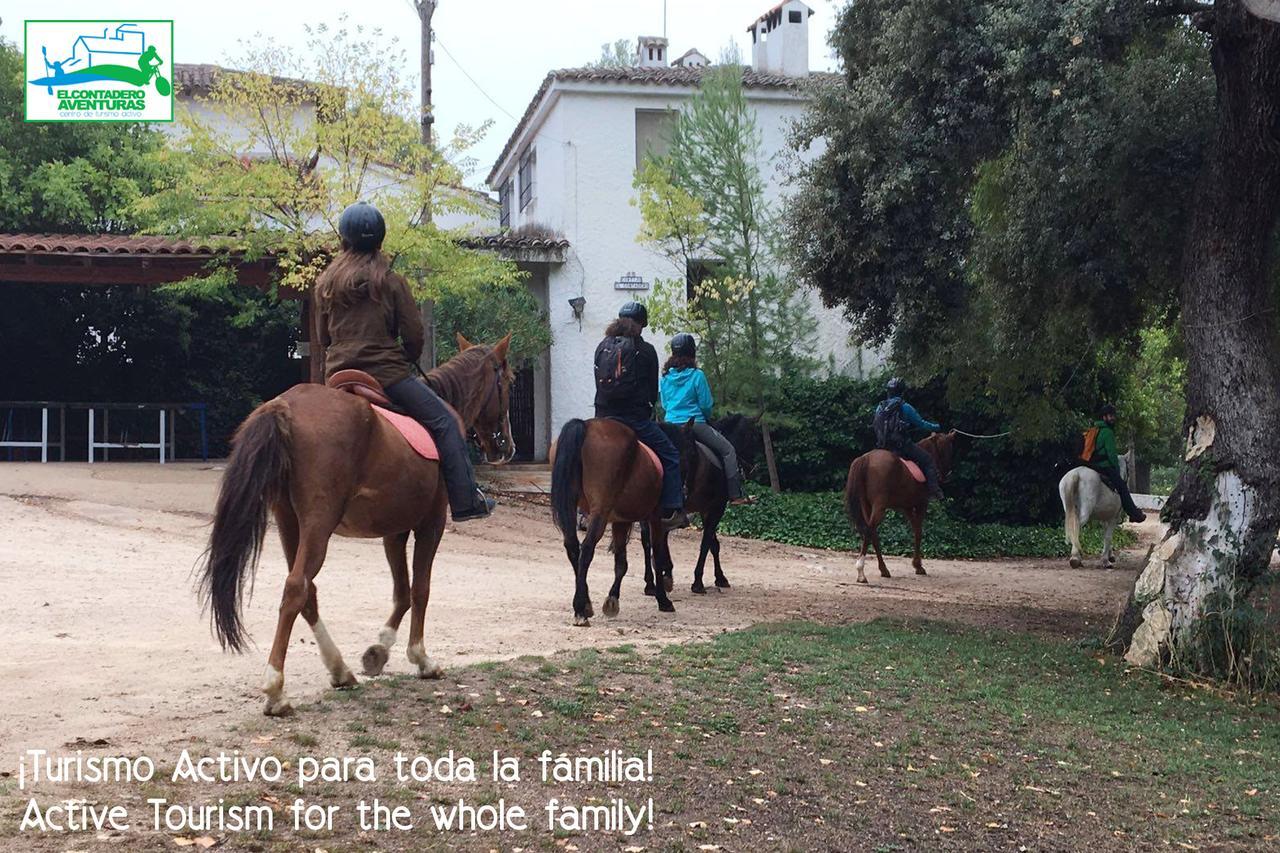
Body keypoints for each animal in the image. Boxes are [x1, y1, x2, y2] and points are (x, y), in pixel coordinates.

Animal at [197, 333, 512, 712]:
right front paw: (421, 659)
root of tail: (286, 405)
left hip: (289, 522)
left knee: (307, 592)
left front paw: (379, 651)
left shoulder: (394, 531)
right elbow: (420, 589)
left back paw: (339, 670)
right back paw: (276, 688)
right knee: (297, 588)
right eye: (509, 382)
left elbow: (402, 592)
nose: (506, 447)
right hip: (318, 524)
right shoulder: (430, 524)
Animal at [550, 417, 680, 625]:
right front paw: (663, 599)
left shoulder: (621, 521)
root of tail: (586, 425)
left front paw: (612, 600)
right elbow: (657, 557)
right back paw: (580, 610)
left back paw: (585, 604)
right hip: (600, 510)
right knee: (586, 549)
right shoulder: (655, 517)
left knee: (573, 547)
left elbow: (621, 563)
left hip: (571, 505)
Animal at [844, 427, 957, 581]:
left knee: (872, 533)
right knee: (869, 530)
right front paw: (918, 566)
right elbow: (918, 532)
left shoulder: (907, 507)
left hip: (867, 506)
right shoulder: (921, 504)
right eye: (948, 449)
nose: (947, 474)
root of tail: (866, 458)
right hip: (879, 507)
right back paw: (861, 572)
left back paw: (884, 569)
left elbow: (915, 529)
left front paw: (917, 564)